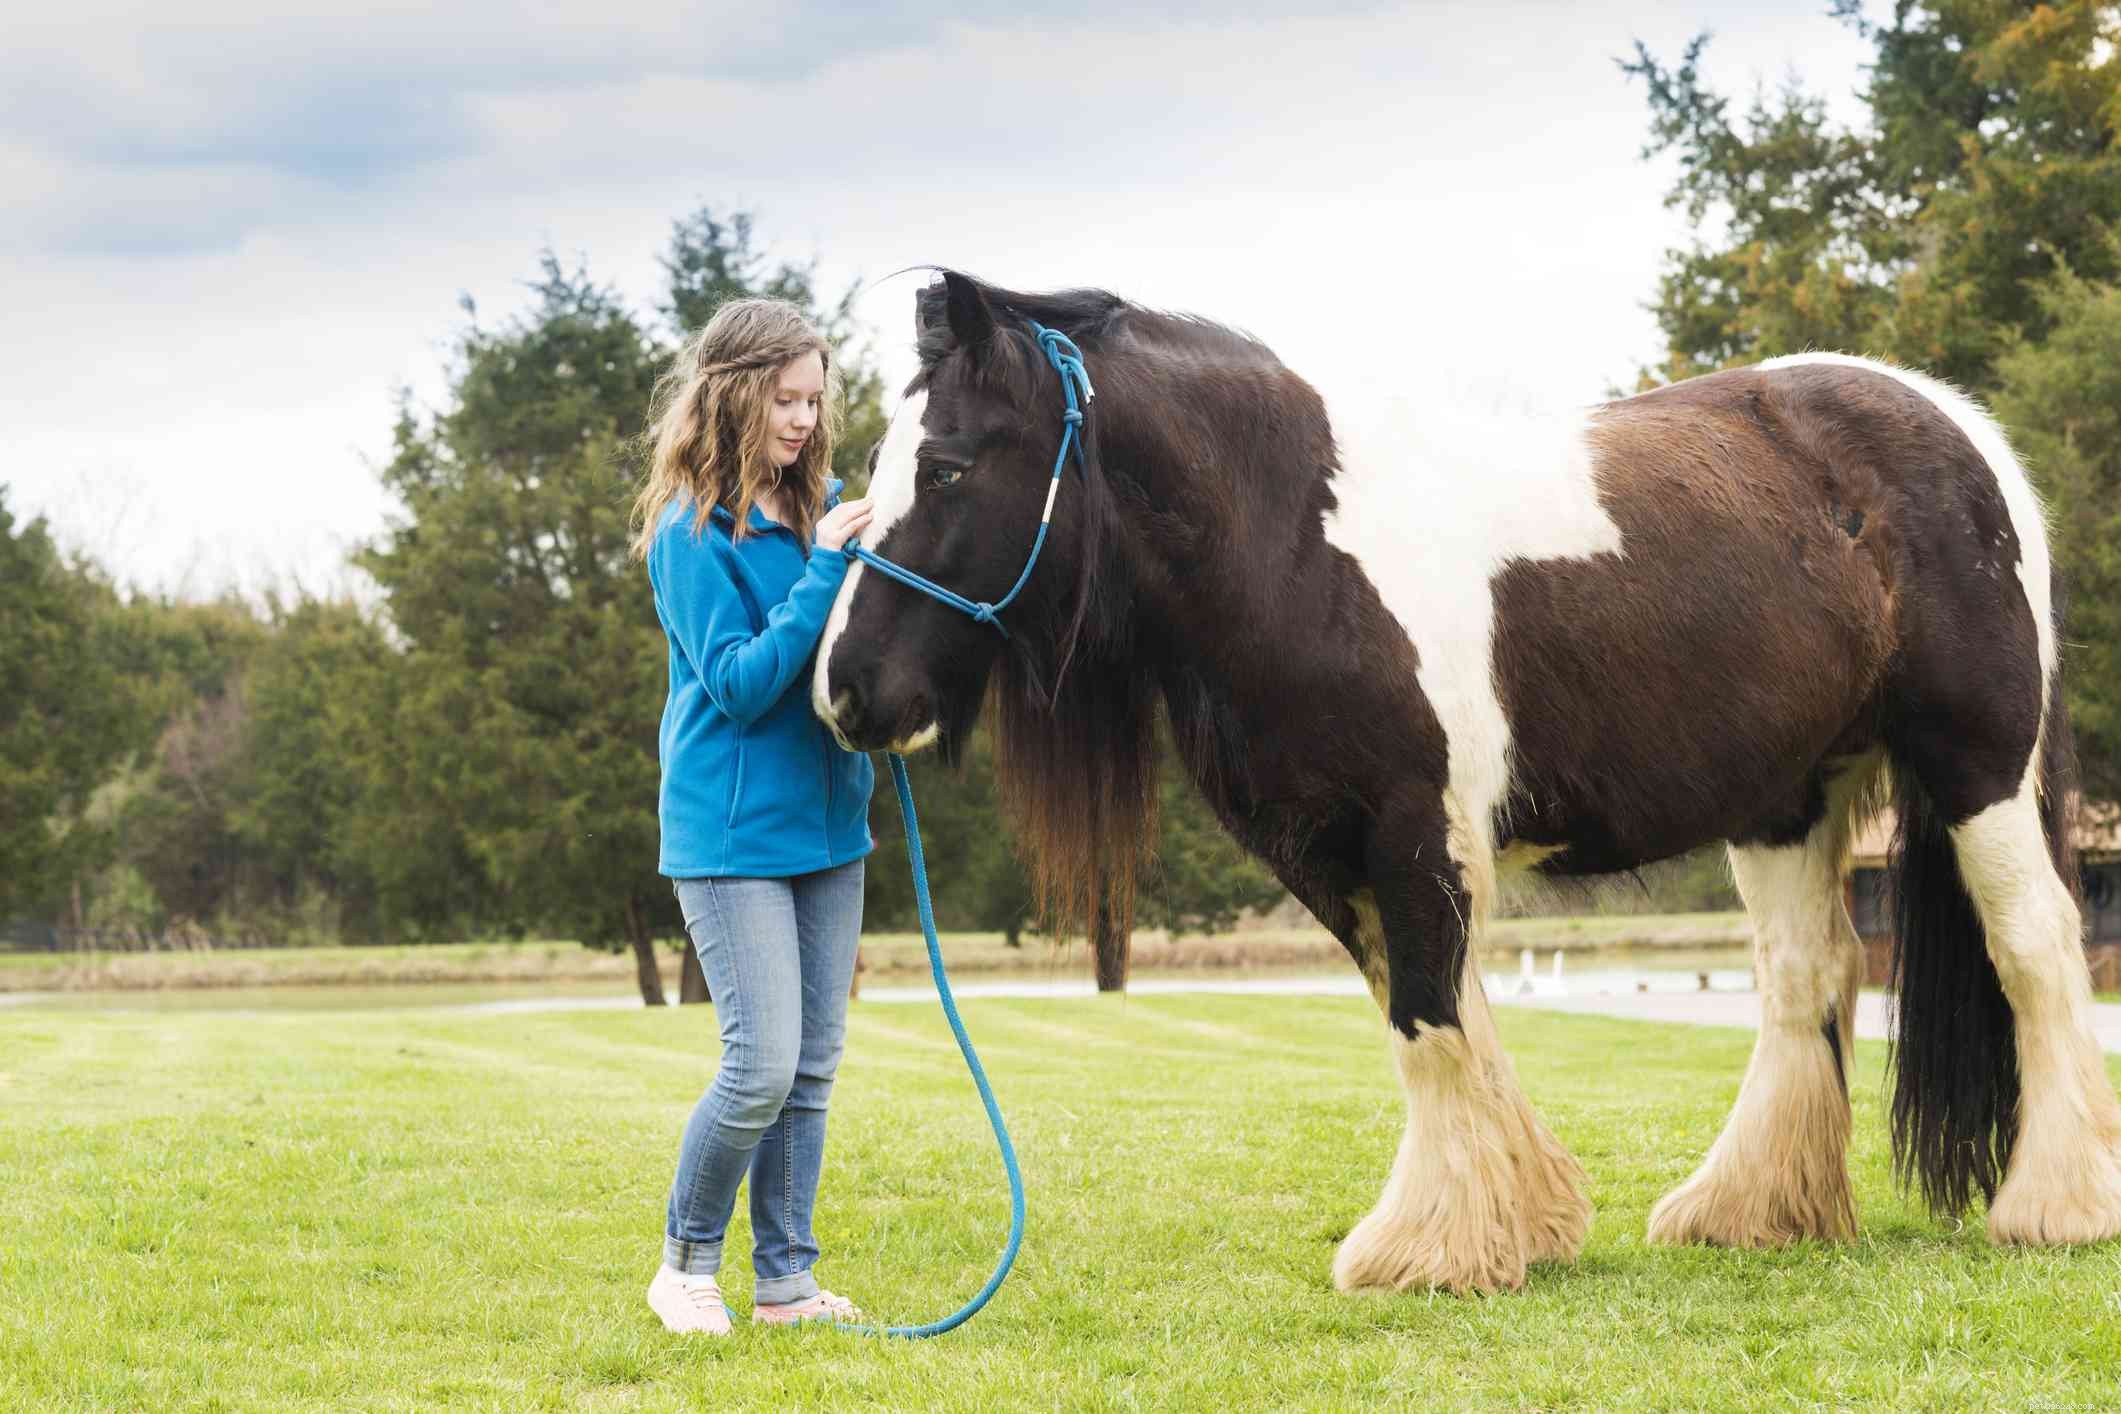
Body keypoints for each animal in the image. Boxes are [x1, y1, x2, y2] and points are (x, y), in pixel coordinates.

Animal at [810, 270, 2121, 1294]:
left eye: (947, 464)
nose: (845, 688)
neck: (1298, 543)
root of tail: (1961, 431)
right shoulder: (1332, 851)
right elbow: (1431, 1016)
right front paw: (1519, 1221)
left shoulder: (1413, 829)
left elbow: (1431, 1018)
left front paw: (1436, 1251)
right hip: (1785, 798)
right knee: (1810, 976)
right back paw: (1752, 1211)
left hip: (1976, 765)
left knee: (2037, 949)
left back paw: (2055, 1206)